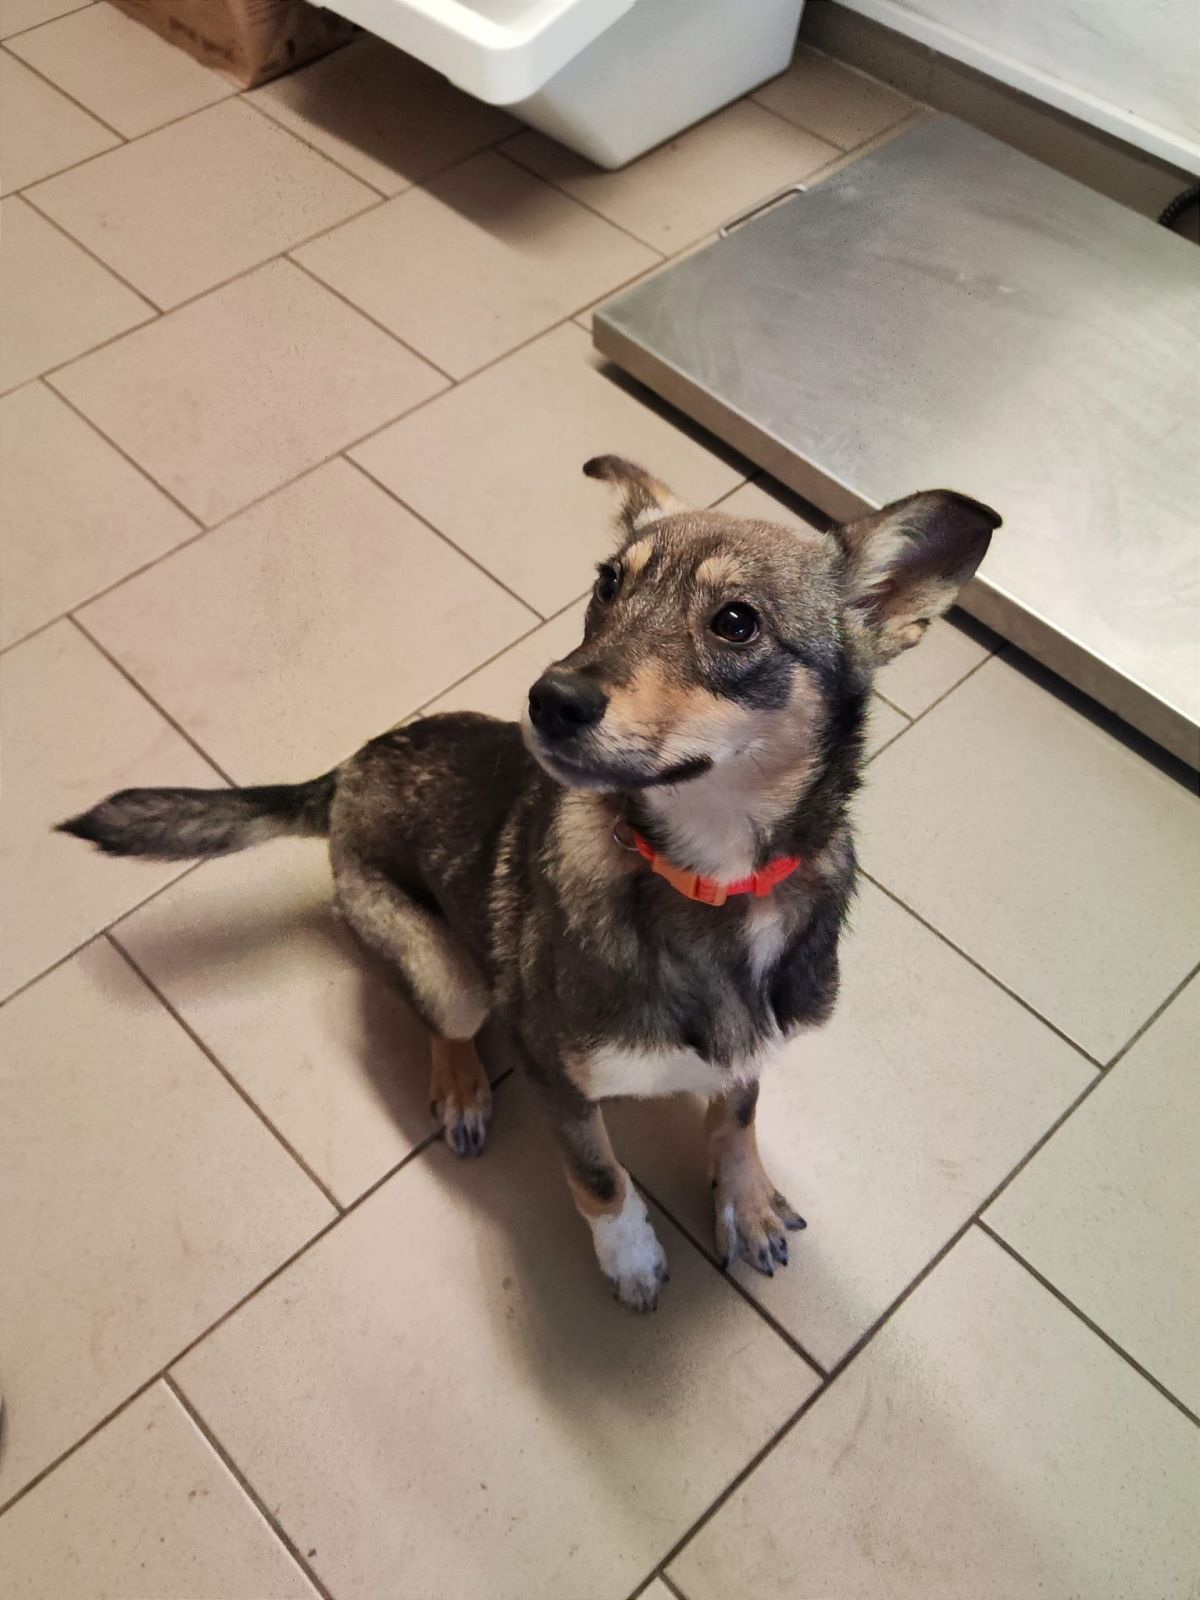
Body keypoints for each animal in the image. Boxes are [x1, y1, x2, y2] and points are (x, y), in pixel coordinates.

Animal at [59, 457, 998, 1311]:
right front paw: (631, 1258)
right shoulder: (557, 1073)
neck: (710, 879)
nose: (551, 698)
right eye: (607, 584)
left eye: (736, 622)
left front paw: (748, 1203)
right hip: (443, 965)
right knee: (448, 1019)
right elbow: (601, 1175)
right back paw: (463, 1090)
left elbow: (736, 1113)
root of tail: (344, 774)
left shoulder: (752, 1047)